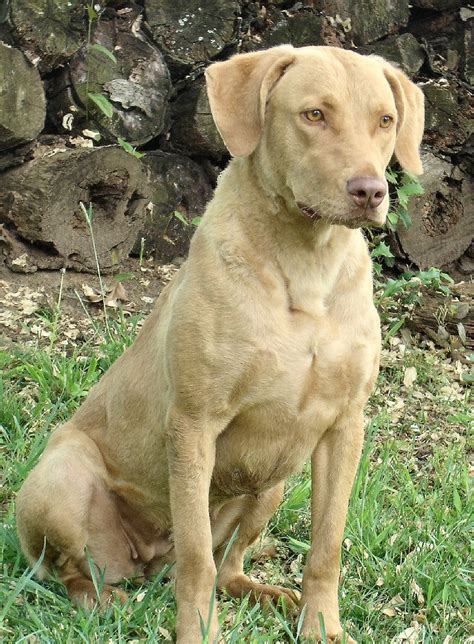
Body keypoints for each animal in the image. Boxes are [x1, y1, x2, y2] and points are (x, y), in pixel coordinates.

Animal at [16, 44, 424, 640]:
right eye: (314, 115)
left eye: (385, 120)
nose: (370, 191)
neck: (306, 268)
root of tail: (147, 564)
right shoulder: (194, 425)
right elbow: (196, 561)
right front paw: (198, 632)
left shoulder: (344, 427)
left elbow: (325, 546)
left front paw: (322, 625)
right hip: (60, 478)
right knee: (82, 573)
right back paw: (105, 601)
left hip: (271, 481)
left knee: (229, 563)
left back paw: (266, 594)